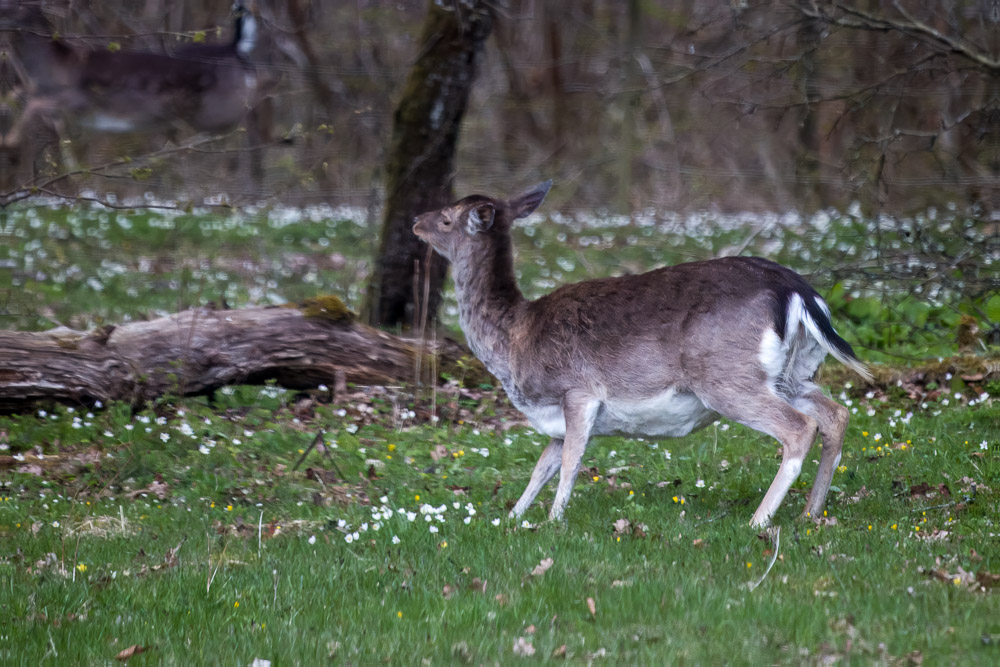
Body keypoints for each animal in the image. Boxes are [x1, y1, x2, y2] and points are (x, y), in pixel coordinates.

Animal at [410, 181, 872, 528]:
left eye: (447, 218)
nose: (416, 220)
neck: (514, 340)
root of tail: (800, 293)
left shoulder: (578, 390)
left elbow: (570, 462)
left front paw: (554, 520)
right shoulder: (556, 416)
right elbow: (542, 465)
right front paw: (512, 517)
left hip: (726, 376)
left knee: (799, 426)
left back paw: (759, 520)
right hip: (794, 372)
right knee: (836, 414)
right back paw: (811, 514)